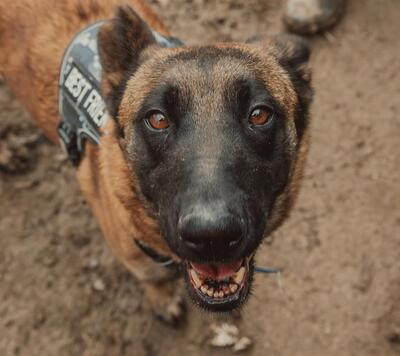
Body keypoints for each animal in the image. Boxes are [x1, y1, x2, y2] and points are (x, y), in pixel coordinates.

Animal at [0, 0, 312, 322]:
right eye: (158, 119)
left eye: (259, 115)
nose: (212, 236)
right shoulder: (135, 256)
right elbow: (153, 278)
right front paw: (162, 298)